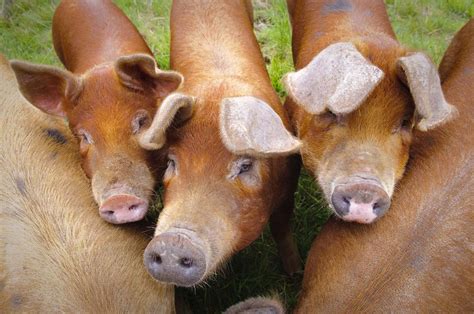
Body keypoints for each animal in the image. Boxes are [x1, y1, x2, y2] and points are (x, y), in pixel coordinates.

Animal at [137, 0, 302, 288]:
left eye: (245, 166)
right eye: (171, 162)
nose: (174, 242)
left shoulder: (288, 186)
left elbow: (281, 228)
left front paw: (295, 274)